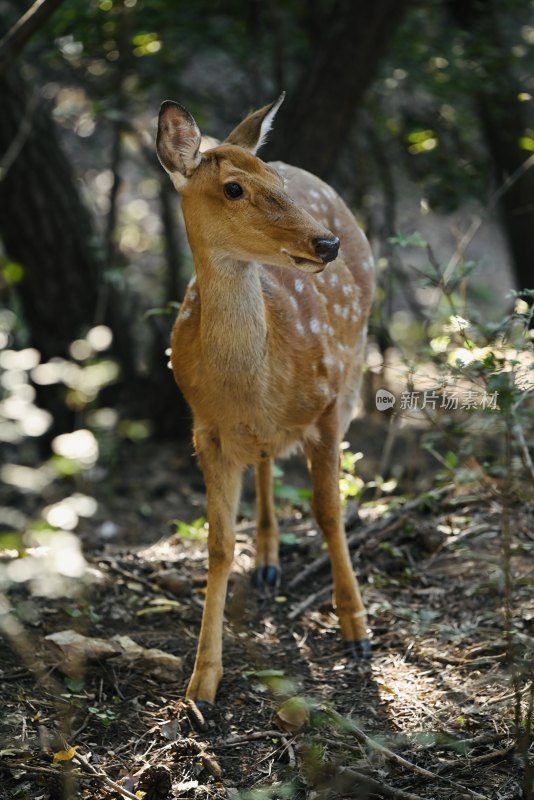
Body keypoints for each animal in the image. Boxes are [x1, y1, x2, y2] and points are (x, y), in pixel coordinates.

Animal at [156, 95, 376, 708]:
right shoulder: (204, 428)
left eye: (273, 182)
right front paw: (202, 681)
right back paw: (268, 561)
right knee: (263, 457)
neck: (252, 381)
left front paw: (356, 629)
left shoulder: (328, 406)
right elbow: (217, 545)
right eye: (233, 188)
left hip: (355, 366)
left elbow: (329, 511)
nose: (326, 244)